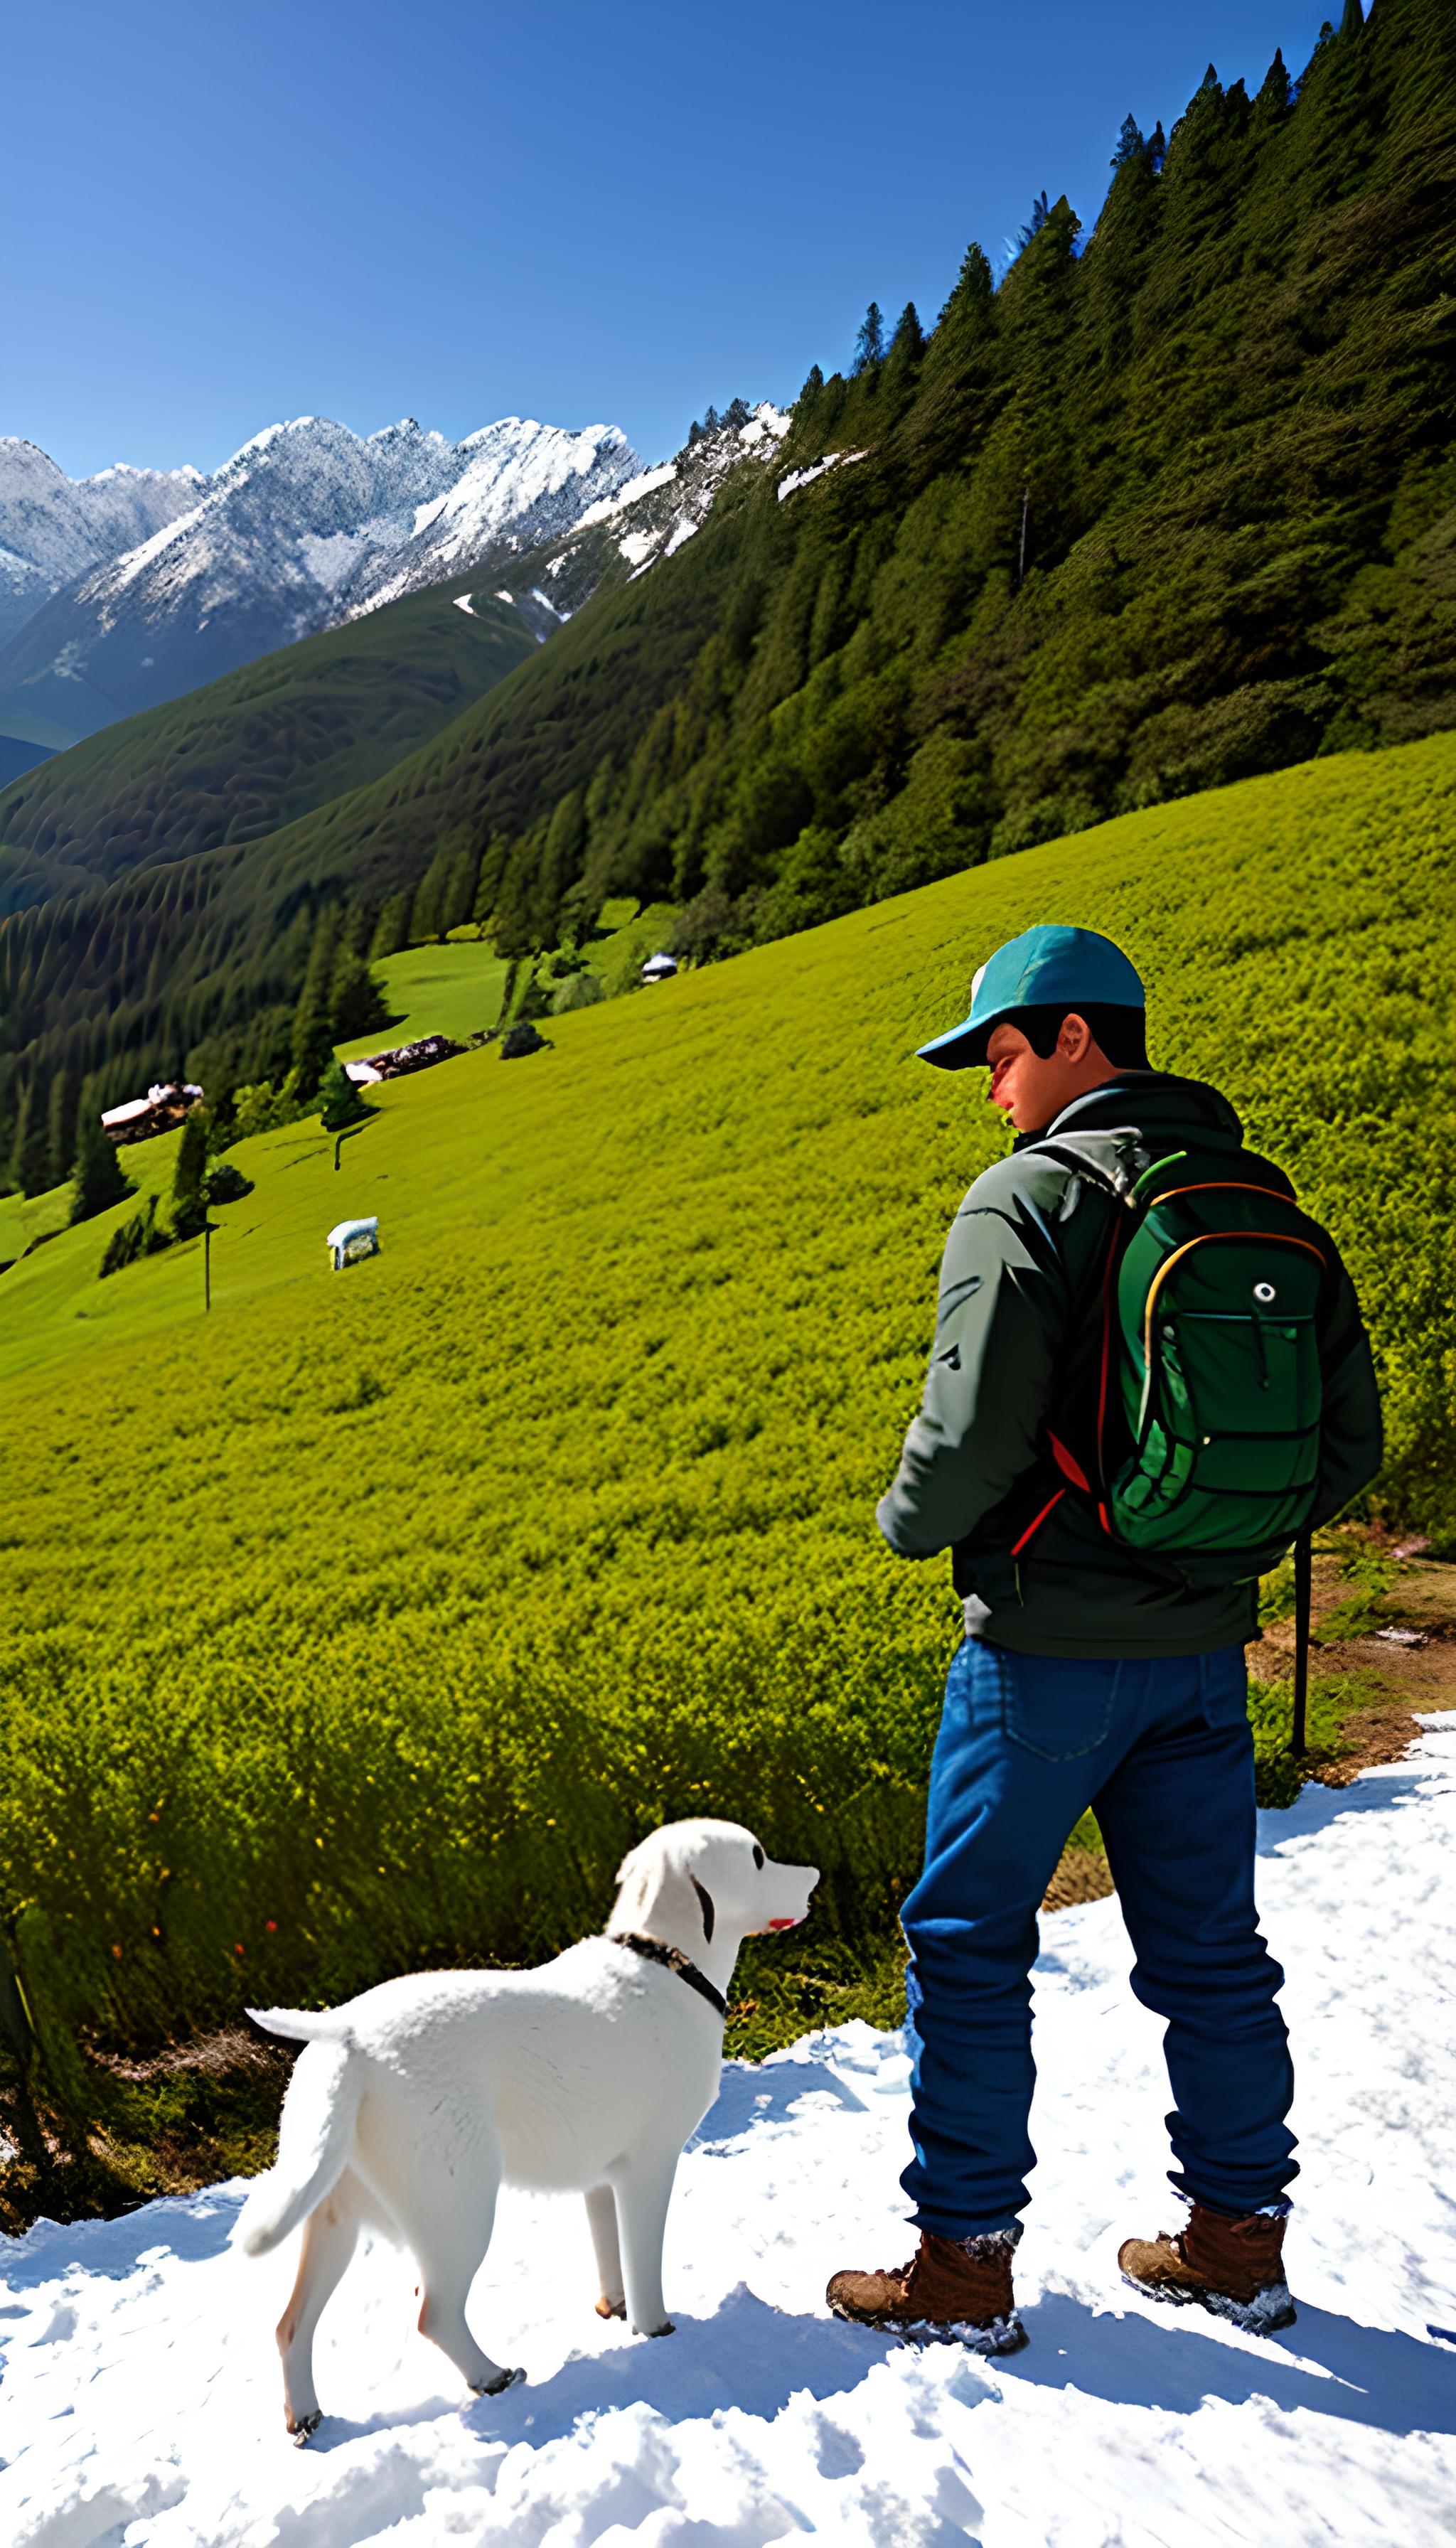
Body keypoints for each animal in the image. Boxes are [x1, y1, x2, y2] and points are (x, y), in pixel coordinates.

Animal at [233, 1814, 815, 2425]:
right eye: (758, 1857)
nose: (816, 1877)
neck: (663, 1961)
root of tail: (345, 2037)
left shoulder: (601, 2179)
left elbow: (611, 2256)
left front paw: (613, 2309)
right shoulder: (649, 2168)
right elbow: (643, 2266)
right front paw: (656, 2332)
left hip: (334, 2216)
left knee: (290, 2326)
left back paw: (305, 2416)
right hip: (458, 2208)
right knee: (433, 2313)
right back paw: (490, 2376)